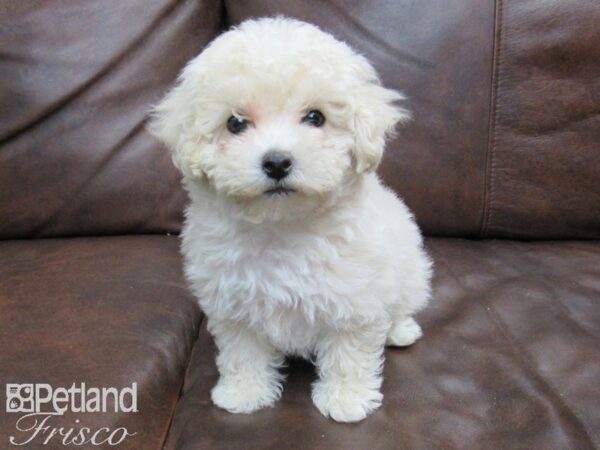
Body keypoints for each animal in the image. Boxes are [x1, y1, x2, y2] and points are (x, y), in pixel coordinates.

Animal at [149, 17, 432, 424]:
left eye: (316, 117)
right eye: (236, 123)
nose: (277, 162)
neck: (282, 226)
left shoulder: (356, 301)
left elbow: (349, 352)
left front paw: (346, 400)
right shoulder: (233, 303)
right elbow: (243, 351)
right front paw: (244, 393)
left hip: (411, 272)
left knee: (402, 305)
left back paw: (401, 330)